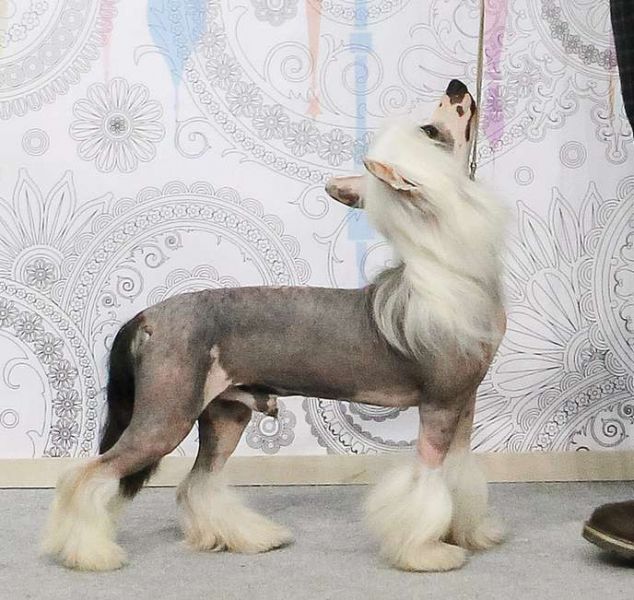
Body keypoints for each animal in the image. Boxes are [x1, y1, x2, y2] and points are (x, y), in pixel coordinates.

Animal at [41, 80, 508, 572]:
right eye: (431, 130)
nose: (457, 87)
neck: (444, 273)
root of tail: (147, 316)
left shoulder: (463, 402)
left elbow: (459, 473)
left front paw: (471, 534)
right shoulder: (439, 404)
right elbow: (427, 481)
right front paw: (428, 553)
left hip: (226, 413)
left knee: (198, 483)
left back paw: (242, 538)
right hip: (164, 417)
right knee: (85, 477)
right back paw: (89, 553)